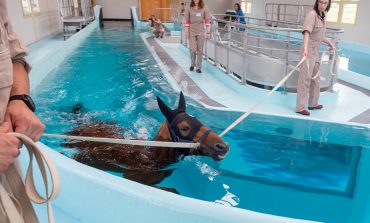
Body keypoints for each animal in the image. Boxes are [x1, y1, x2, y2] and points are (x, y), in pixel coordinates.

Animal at [65, 91, 230, 193]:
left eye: (199, 120)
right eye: (185, 127)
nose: (223, 146)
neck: (153, 156)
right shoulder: (131, 177)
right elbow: (174, 191)